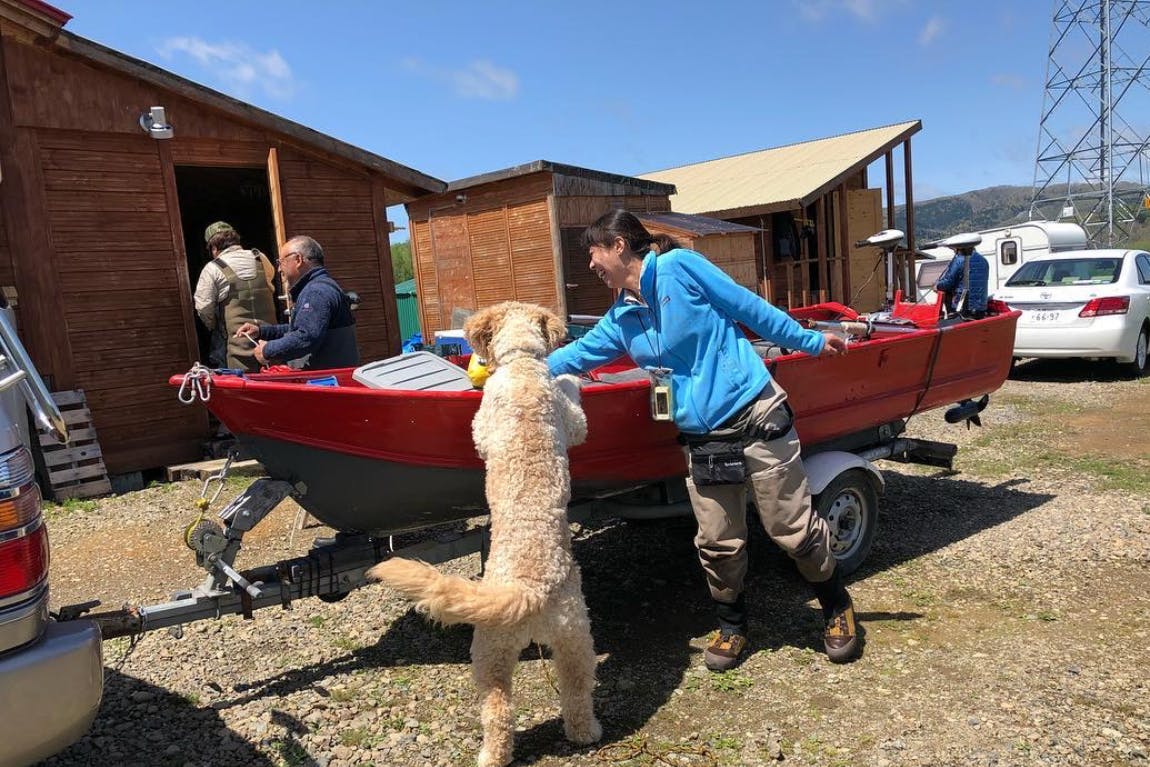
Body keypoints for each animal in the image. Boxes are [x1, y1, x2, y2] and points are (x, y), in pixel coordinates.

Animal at [368, 298, 602, 767]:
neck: (522, 366)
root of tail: (526, 591)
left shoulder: (528, 422)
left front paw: (569, 377)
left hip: (503, 651)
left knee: (509, 710)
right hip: (559, 641)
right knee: (559, 699)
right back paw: (576, 735)